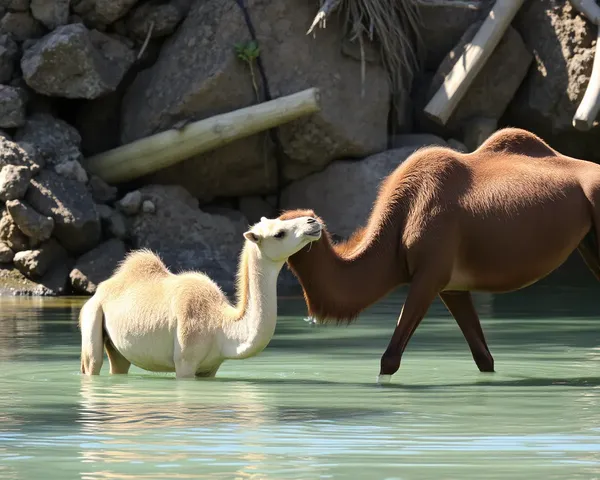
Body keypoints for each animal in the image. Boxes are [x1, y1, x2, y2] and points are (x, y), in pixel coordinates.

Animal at [278, 126, 600, 382]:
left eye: (282, 230)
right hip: (588, 244)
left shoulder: (430, 274)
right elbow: (483, 356)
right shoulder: (452, 287)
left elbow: (389, 359)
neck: (398, 225)